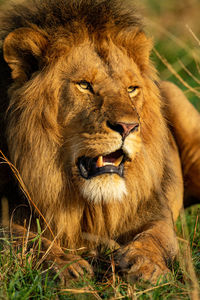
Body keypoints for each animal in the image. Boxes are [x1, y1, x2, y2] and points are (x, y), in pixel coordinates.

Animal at [0, 0, 200, 284]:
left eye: (131, 89)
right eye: (84, 85)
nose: (128, 127)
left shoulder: (154, 206)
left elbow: (158, 235)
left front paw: (144, 264)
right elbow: (21, 237)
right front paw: (65, 265)